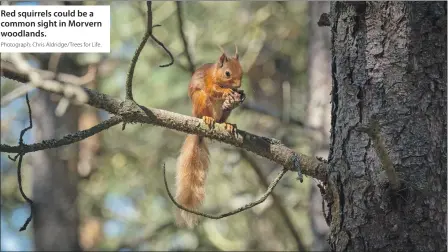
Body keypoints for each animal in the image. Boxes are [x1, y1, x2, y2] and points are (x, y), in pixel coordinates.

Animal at [175, 45, 245, 228]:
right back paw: (208, 119)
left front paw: (241, 94)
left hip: (225, 112)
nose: (238, 85)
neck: (215, 74)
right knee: (206, 111)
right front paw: (227, 91)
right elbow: (214, 90)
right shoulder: (208, 83)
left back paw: (229, 125)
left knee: (222, 119)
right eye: (227, 73)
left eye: (242, 72)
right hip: (201, 101)